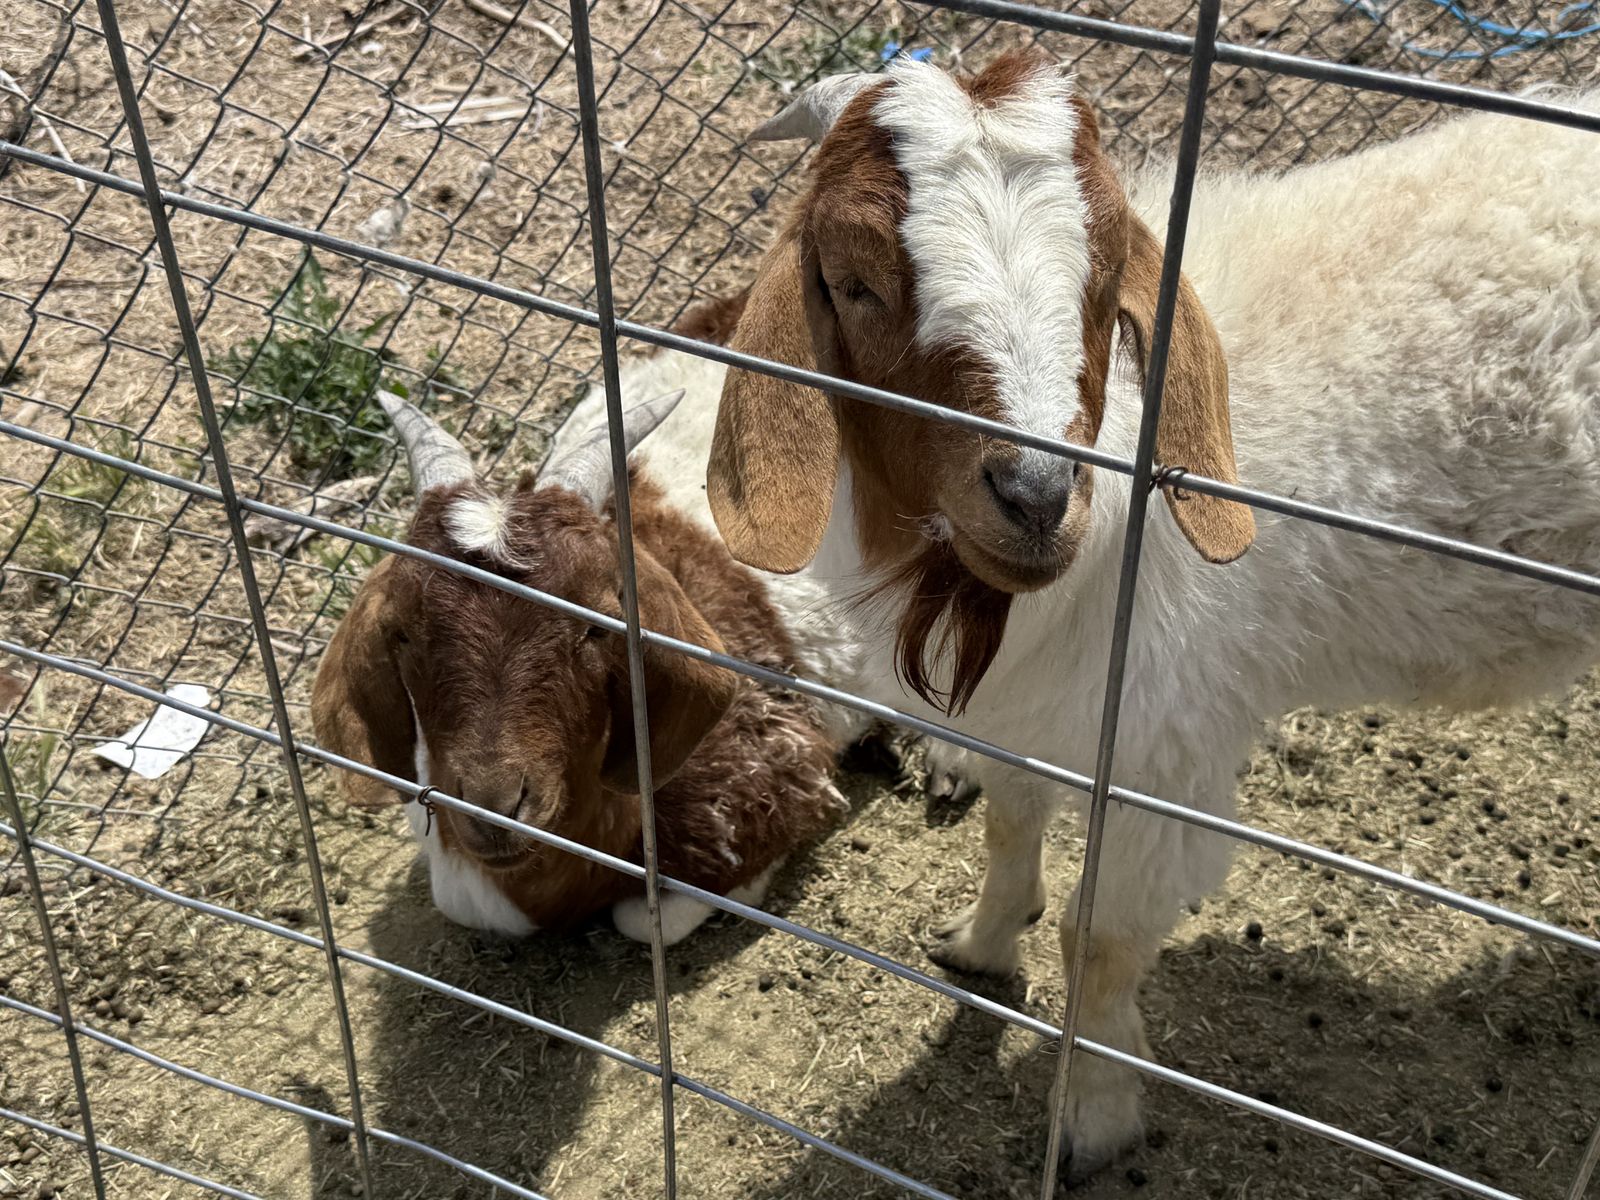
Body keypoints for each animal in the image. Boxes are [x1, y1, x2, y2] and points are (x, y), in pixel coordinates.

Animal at [678, 50, 1599, 1177]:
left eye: (1102, 280)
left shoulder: (1165, 751)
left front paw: (1092, 1117)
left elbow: (1100, 940)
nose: (1035, 495)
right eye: (854, 283)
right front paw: (984, 944)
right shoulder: (1030, 713)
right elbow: (1009, 825)